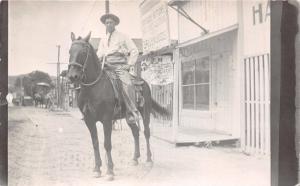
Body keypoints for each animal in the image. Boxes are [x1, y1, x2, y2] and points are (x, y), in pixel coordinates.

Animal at [67, 32, 171, 181]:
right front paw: (97, 169)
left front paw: (110, 171)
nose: (72, 76)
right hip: (129, 117)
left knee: (146, 132)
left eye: (84, 51)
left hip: (145, 113)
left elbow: (107, 144)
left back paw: (149, 159)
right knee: (135, 132)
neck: (94, 87)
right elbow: (95, 143)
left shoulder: (106, 119)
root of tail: (143, 82)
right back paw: (135, 158)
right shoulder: (89, 120)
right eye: (70, 51)